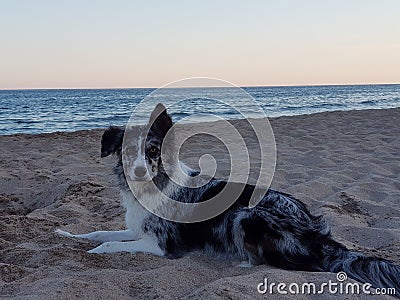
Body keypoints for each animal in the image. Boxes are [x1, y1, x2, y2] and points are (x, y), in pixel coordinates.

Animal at [57, 103, 398, 292]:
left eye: (153, 150)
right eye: (127, 152)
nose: (139, 171)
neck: (155, 186)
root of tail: (322, 238)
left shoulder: (162, 245)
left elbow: (110, 244)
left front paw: (93, 251)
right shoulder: (137, 229)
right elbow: (100, 232)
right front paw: (68, 234)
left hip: (246, 214)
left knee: (299, 265)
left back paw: (243, 263)